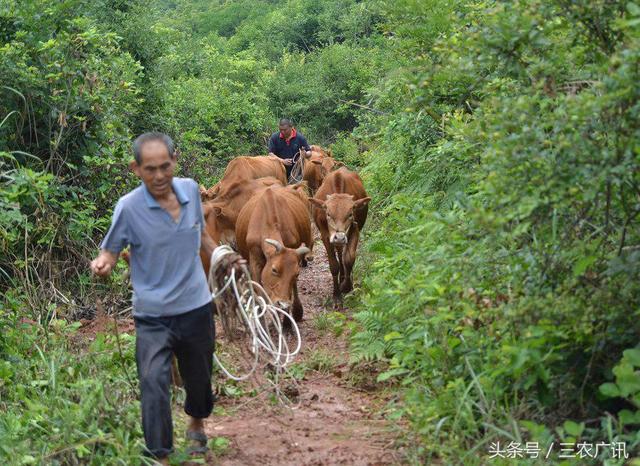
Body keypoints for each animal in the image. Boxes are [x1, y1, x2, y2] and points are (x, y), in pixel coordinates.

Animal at [310, 167, 370, 298]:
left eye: (350, 214)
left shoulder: (355, 230)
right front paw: (336, 295)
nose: (339, 237)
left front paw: (346, 287)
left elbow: (348, 259)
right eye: (328, 214)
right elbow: (334, 265)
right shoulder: (325, 235)